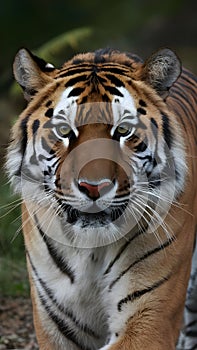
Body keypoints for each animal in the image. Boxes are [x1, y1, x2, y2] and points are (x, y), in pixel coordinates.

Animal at [6, 47, 197, 350]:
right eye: (64, 131)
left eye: (123, 130)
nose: (94, 187)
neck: (90, 249)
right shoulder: (56, 324)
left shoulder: (149, 318)